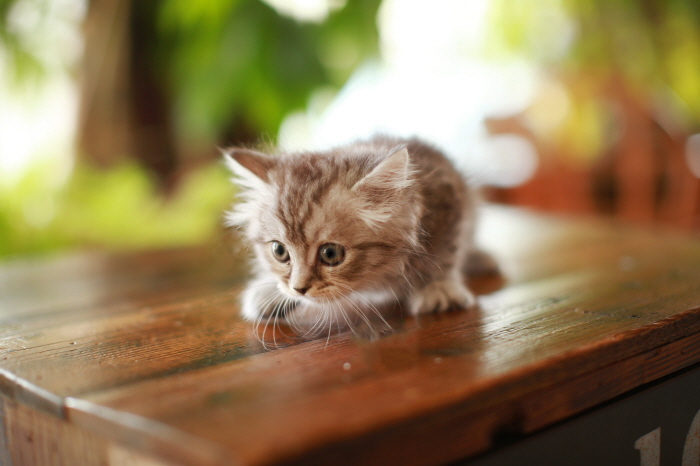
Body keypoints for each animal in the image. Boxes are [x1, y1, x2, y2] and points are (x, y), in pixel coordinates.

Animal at [224, 137, 486, 334]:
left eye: (330, 253)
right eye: (279, 251)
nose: (299, 289)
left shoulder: (447, 202)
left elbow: (445, 253)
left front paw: (438, 287)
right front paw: (270, 292)